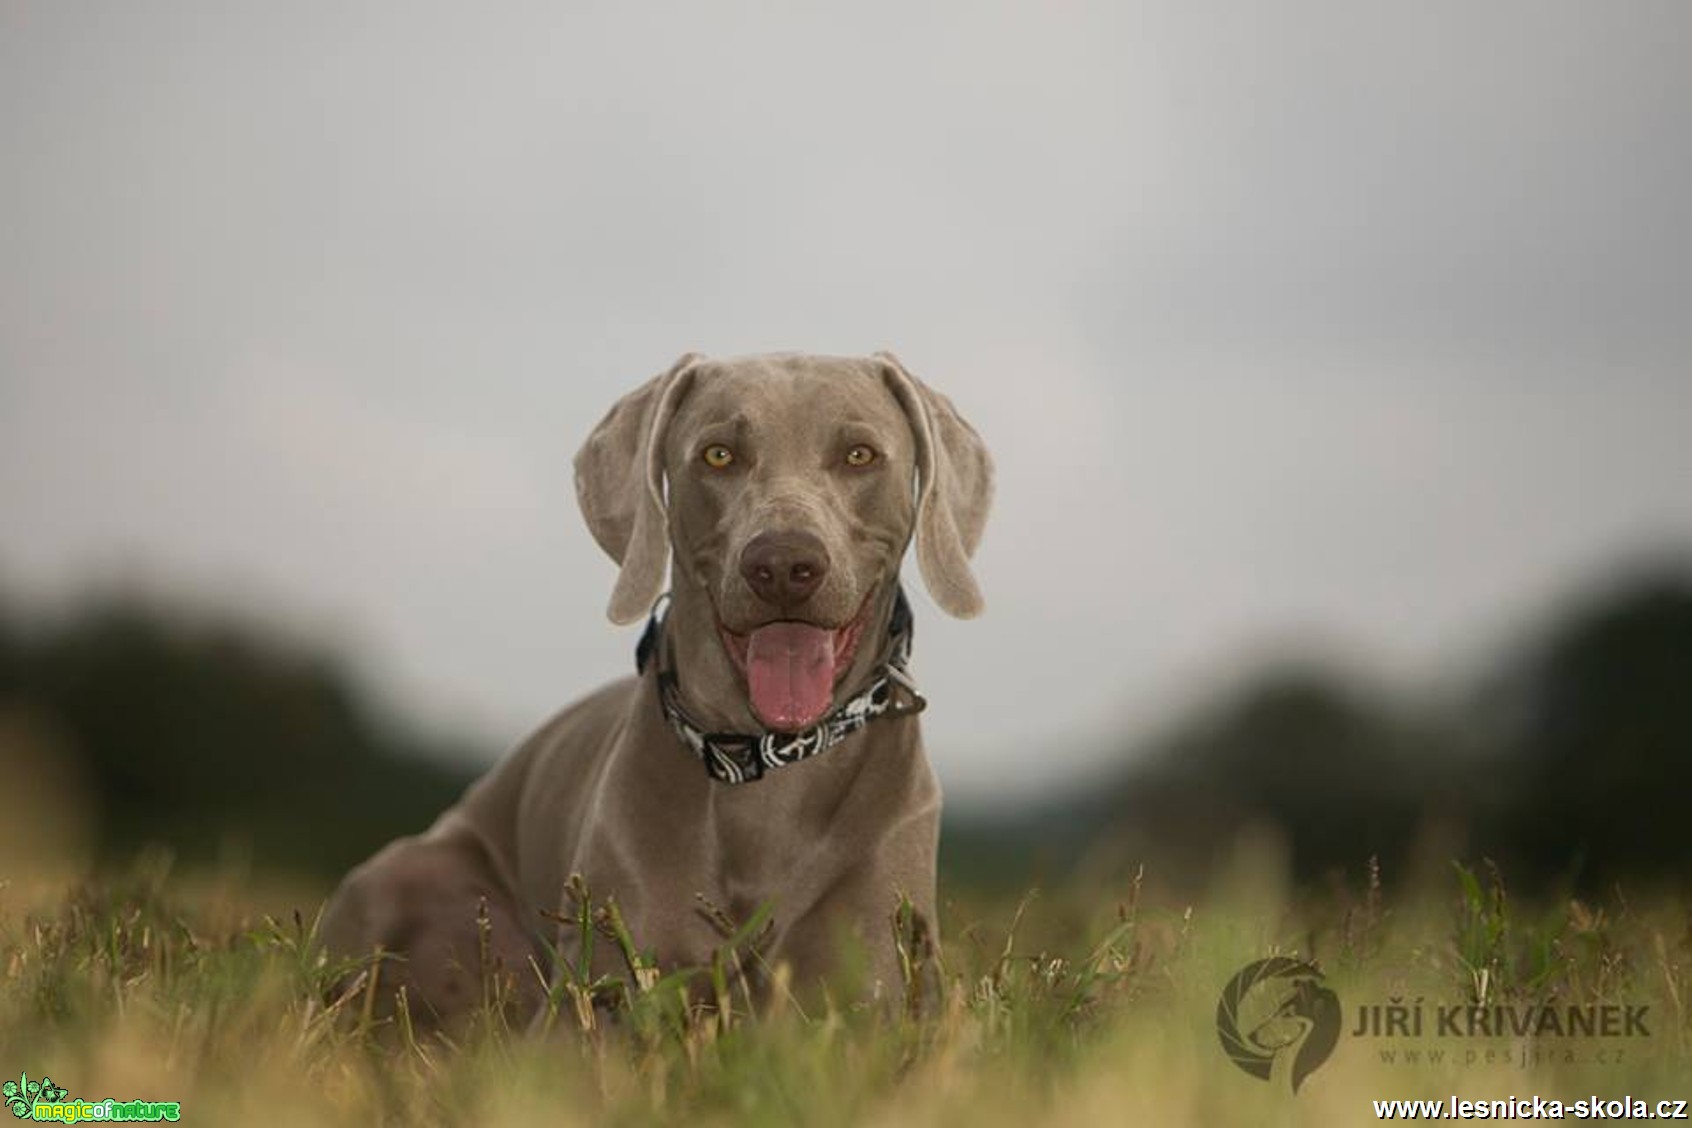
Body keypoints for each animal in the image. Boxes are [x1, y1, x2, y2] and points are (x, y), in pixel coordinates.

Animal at [318, 353, 988, 1021]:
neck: (765, 764)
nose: (782, 567)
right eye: (718, 455)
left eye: (860, 455)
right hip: (404, 877)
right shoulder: (600, 990)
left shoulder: (865, 990)